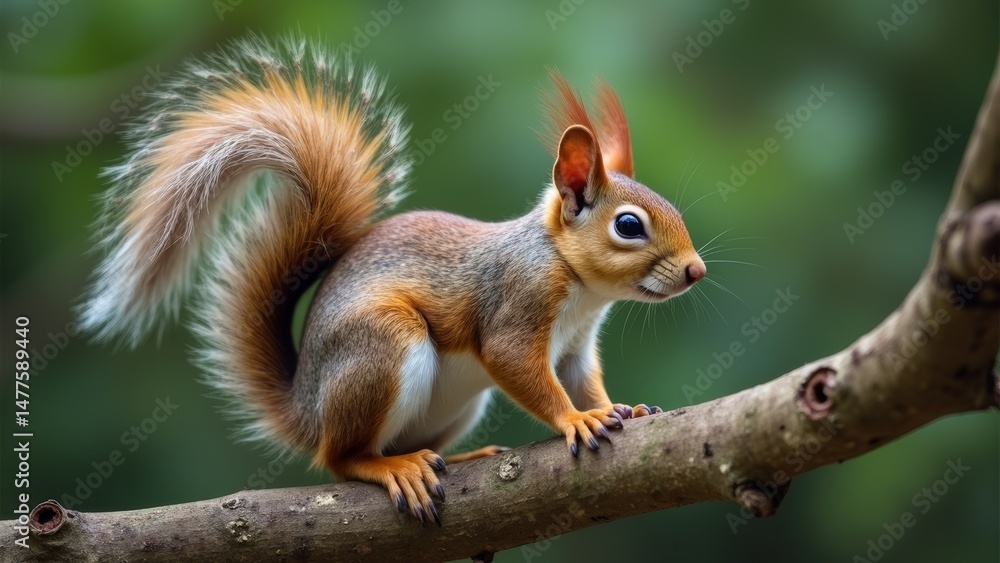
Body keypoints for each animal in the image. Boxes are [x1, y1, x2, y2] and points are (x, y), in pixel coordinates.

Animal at [80, 35, 706, 526]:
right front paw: (576, 420)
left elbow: (582, 379)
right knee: (342, 459)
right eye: (629, 225)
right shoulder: (517, 302)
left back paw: (458, 460)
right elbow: (521, 367)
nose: (696, 270)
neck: (576, 283)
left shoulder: (575, 345)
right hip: (382, 345)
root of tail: (307, 408)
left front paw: (618, 407)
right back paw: (393, 467)